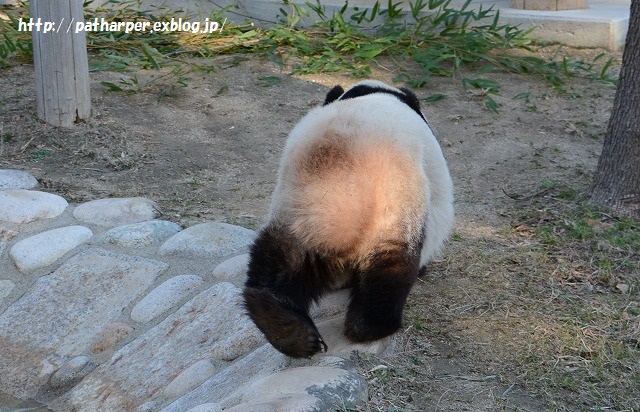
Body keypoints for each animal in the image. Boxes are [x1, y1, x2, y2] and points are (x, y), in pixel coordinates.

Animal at [242, 79, 452, 358]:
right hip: (395, 205)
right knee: (391, 266)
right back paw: (370, 326)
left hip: (294, 211)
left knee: (278, 261)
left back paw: (287, 330)